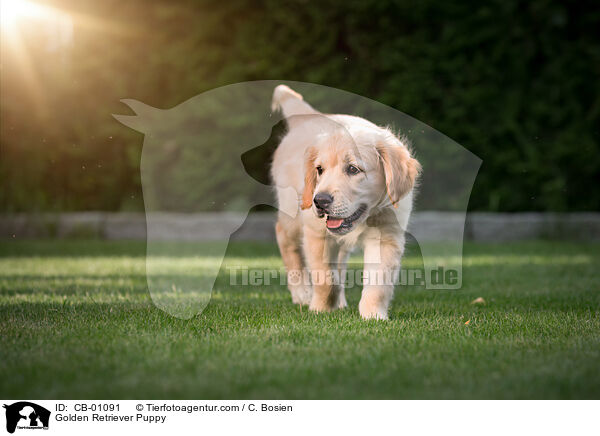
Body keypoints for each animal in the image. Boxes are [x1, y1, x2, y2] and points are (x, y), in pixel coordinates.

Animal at [272, 84, 422, 320]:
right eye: (319, 170)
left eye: (353, 169)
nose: (319, 201)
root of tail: (309, 117)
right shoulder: (317, 234)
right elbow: (326, 278)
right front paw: (320, 309)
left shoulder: (386, 236)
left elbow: (378, 283)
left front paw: (373, 316)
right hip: (292, 213)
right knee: (285, 239)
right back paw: (302, 293)